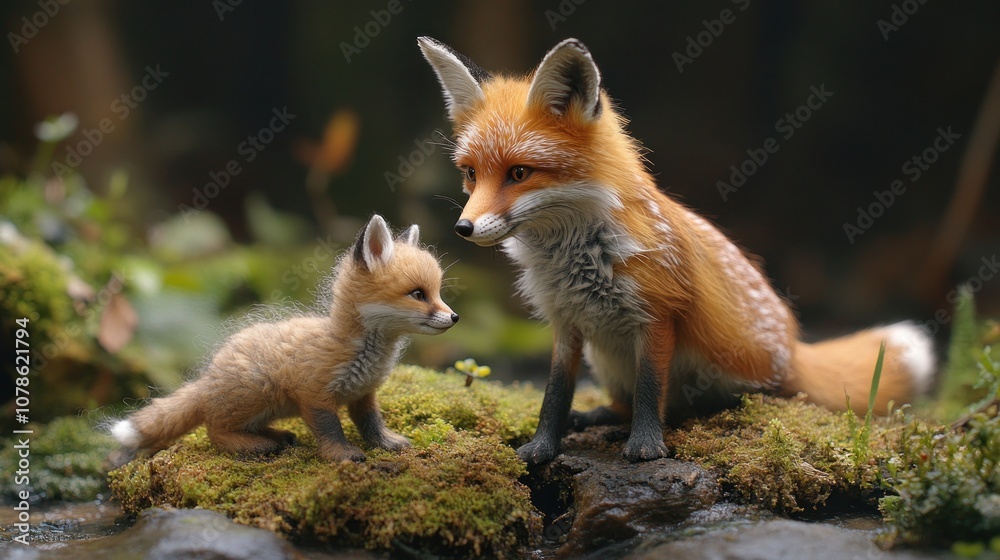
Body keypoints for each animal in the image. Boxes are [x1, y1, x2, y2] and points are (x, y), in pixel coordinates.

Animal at [111, 215, 459, 463]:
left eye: (438, 293)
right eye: (418, 294)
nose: (454, 317)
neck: (355, 350)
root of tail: (208, 377)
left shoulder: (363, 394)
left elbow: (371, 424)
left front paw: (386, 443)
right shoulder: (314, 395)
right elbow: (331, 431)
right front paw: (342, 456)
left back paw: (278, 436)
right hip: (257, 392)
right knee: (214, 430)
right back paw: (256, 446)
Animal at [418, 37, 935, 464]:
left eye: (519, 173)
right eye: (471, 174)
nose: (463, 228)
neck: (576, 258)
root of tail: (794, 349)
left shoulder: (657, 314)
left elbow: (651, 390)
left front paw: (647, 447)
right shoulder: (567, 323)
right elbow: (555, 394)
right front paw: (544, 446)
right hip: (605, 359)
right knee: (619, 402)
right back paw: (599, 417)